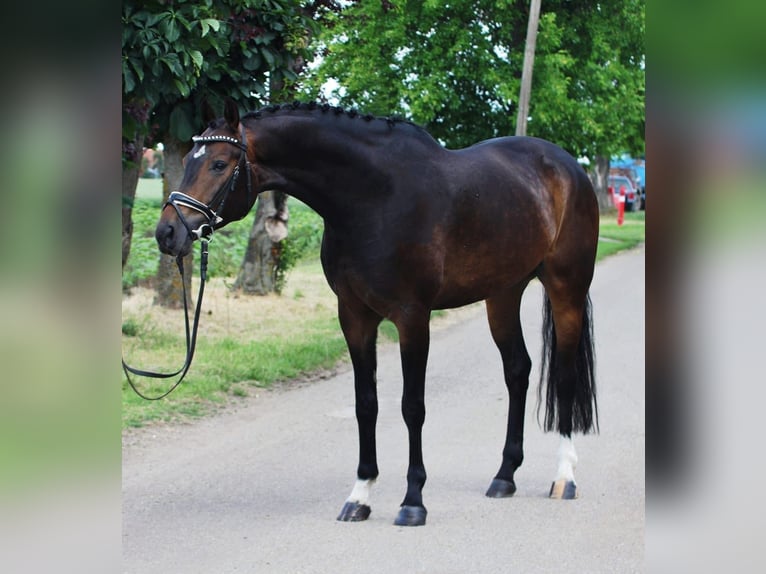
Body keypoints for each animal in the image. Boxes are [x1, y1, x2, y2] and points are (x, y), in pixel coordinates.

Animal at [155, 99, 599, 526]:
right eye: (189, 159)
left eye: (218, 163)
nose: (167, 233)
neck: (373, 198)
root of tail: (569, 166)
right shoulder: (354, 316)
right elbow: (365, 404)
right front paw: (359, 496)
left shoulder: (412, 318)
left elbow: (412, 406)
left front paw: (413, 501)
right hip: (503, 295)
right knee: (518, 371)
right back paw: (504, 476)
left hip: (566, 289)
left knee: (563, 374)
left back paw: (565, 477)